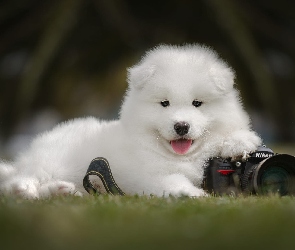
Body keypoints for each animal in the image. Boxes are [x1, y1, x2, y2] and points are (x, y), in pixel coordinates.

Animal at [0, 44, 262, 198]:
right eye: (164, 103)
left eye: (197, 103)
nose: (181, 126)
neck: (182, 157)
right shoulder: (146, 174)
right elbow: (170, 180)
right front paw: (193, 194)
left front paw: (240, 143)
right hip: (50, 160)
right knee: (19, 180)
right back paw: (24, 189)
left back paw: (62, 191)